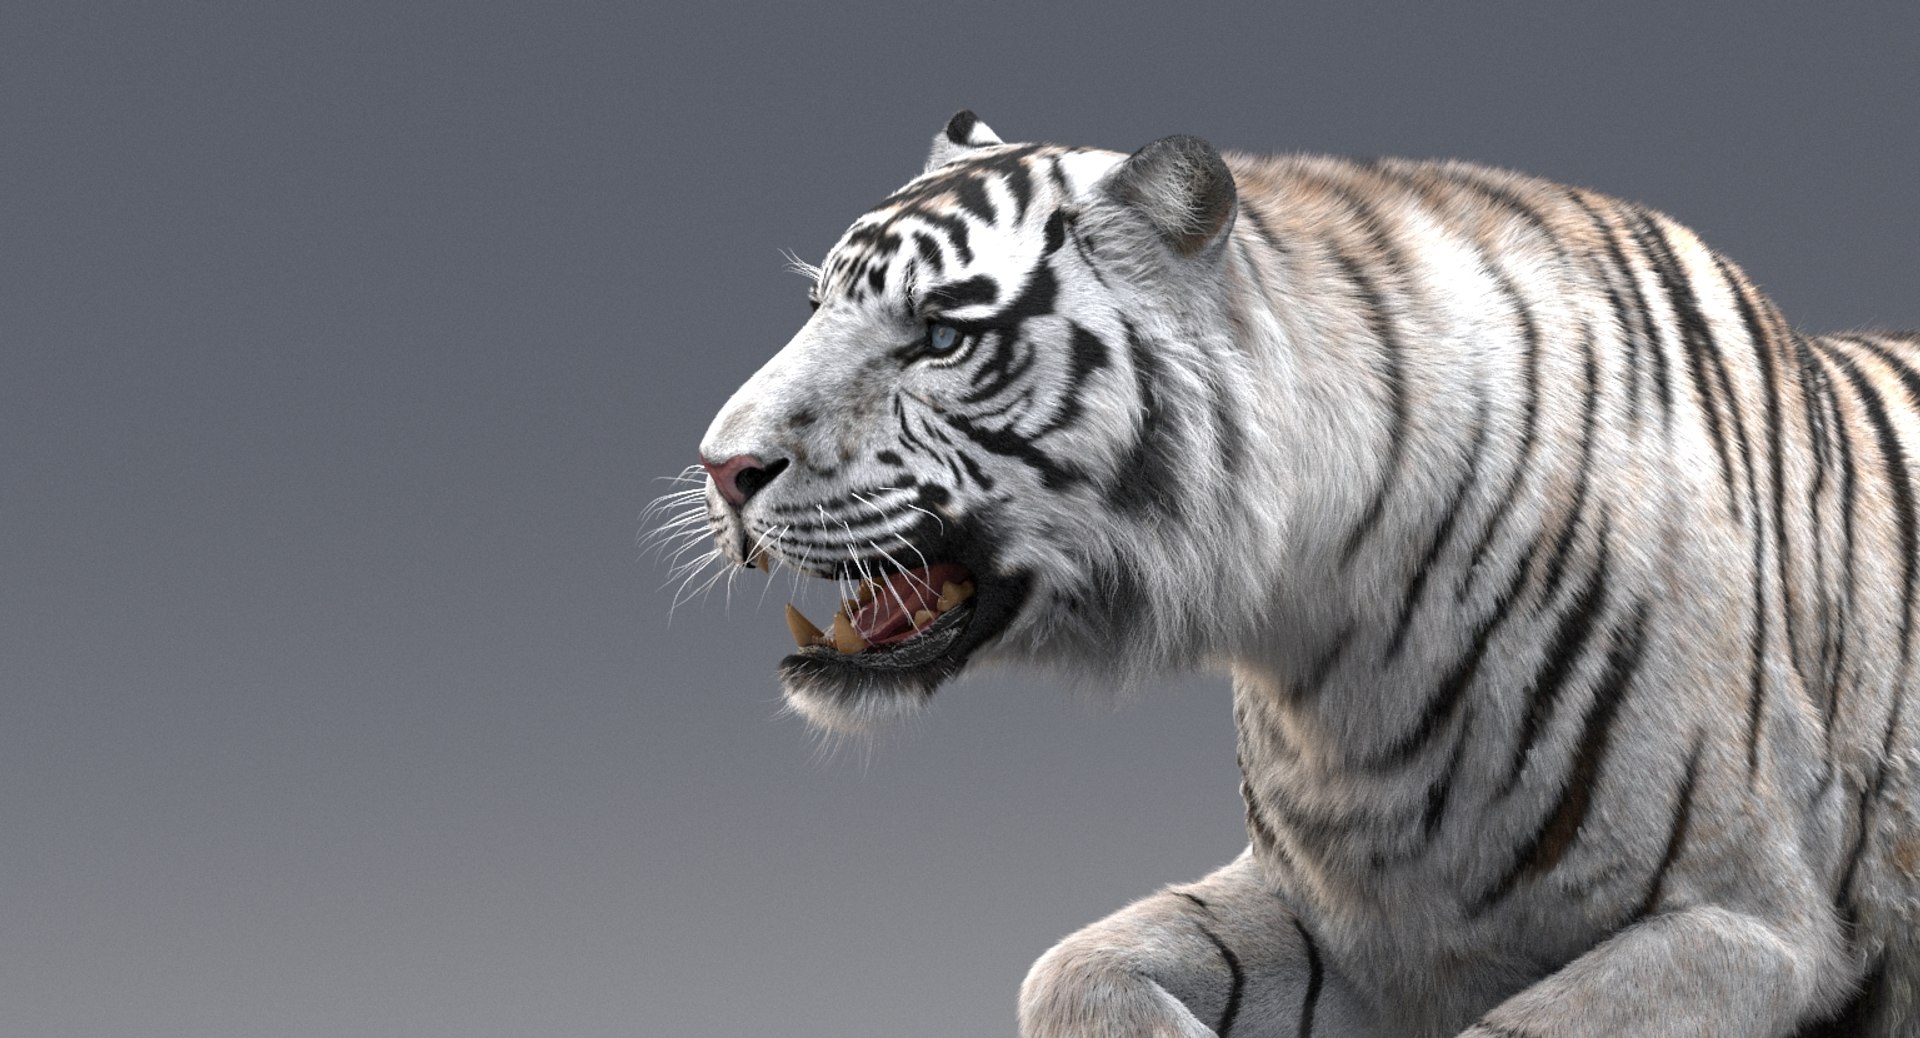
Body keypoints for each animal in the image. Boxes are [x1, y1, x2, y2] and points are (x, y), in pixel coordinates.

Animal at [669, 111, 1920, 1036]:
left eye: (940, 336)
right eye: (816, 308)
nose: (722, 468)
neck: (1334, 650)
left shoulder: (1752, 920)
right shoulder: (1344, 913)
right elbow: (1072, 971)